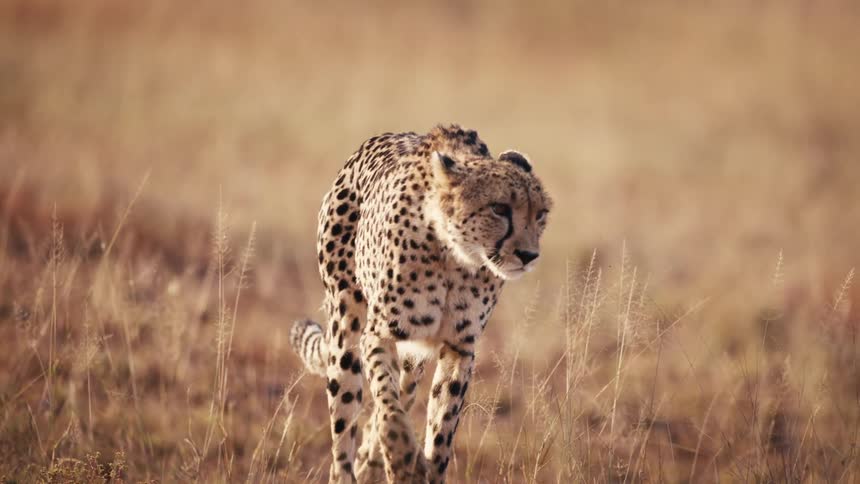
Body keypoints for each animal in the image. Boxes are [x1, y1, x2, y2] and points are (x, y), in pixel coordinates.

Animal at [289, 124, 552, 483]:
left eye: (541, 214)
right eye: (499, 208)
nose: (528, 255)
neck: (456, 257)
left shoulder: (459, 347)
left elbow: (441, 421)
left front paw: (423, 464)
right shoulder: (379, 334)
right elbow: (387, 404)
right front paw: (402, 458)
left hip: (412, 361)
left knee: (397, 397)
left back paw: (371, 462)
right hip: (345, 329)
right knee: (345, 423)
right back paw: (353, 468)